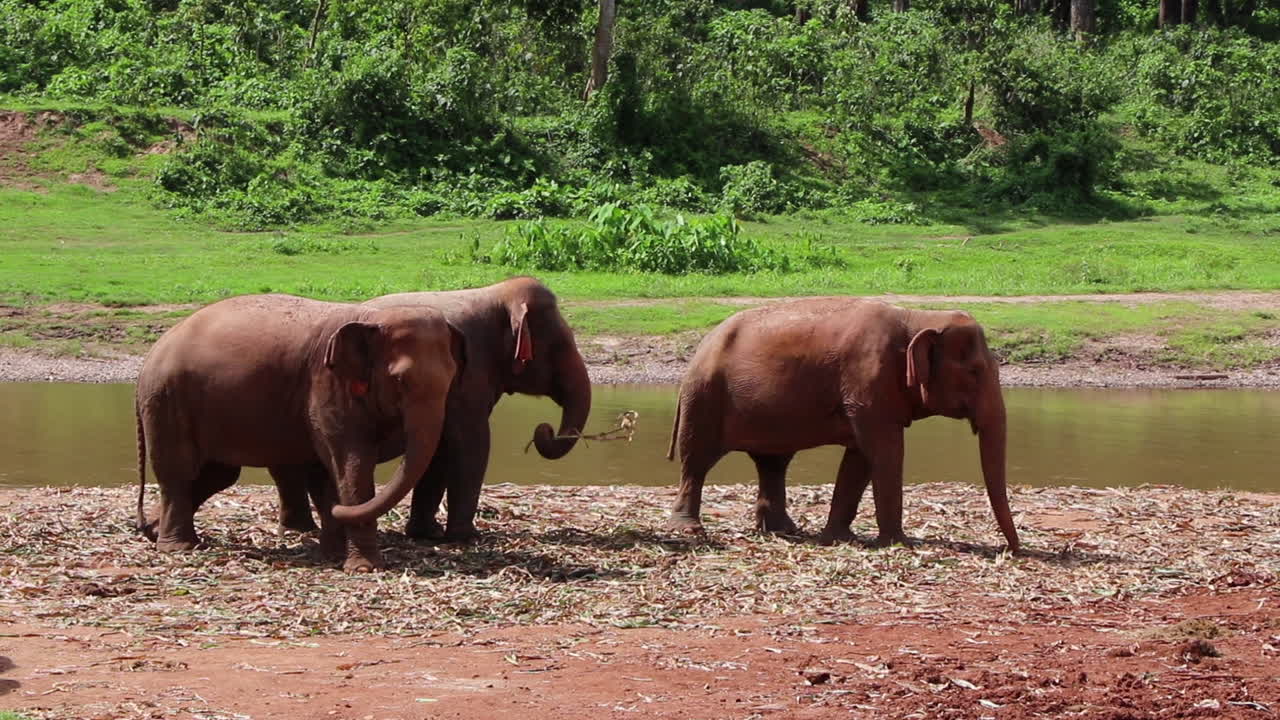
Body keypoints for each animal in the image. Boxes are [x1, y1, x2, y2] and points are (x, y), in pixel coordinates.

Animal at [134, 294, 465, 572]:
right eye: (399, 381)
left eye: (452, 377)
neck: (370, 317)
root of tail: (152, 352)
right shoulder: (326, 385)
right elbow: (350, 464)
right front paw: (363, 567)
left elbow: (328, 472)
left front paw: (333, 553)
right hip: (166, 399)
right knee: (178, 471)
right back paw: (177, 547)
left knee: (218, 474)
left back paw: (155, 530)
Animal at [270, 276, 592, 542]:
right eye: (560, 346)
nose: (544, 429)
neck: (494, 293)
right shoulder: (467, 380)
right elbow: (472, 444)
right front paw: (466, 537)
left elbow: (440, 451)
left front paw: (427, 533)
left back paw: (299, 529)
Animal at [664, 298, 1020, 554]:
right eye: (974, 372)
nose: (1013, 550)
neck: (919, 318)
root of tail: (701, 345)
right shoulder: (867, 382)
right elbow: (886, 452)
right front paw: (898, 543)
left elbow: (860, 459)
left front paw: (840, 537)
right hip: (704, 396)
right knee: (696, 459)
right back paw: (690, 529)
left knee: (773, 463)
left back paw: (783, 530)